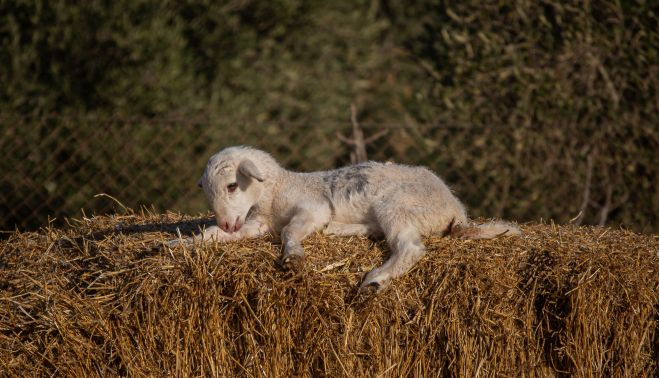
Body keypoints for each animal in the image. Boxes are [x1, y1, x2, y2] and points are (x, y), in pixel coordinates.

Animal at [169, 146, 520, 294]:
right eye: (208, 194)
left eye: (232, 185)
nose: (228, 223)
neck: (277, 190)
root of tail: (455, 209)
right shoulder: (257, 223)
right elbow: (213, 234)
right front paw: (183, 241)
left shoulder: (314, 208)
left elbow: (290, 231)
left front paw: (293, 257)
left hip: (397, 205)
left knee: (410, 248)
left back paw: (375, 280)